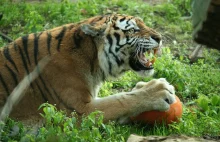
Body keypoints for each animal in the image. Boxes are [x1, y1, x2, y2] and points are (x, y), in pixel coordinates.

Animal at [0, 13, 175, 124]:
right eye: (132, 30)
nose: (159, 38)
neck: (92, 60)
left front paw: (143, 86)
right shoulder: (80, 110)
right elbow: (121, 101)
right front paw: (158, 90)